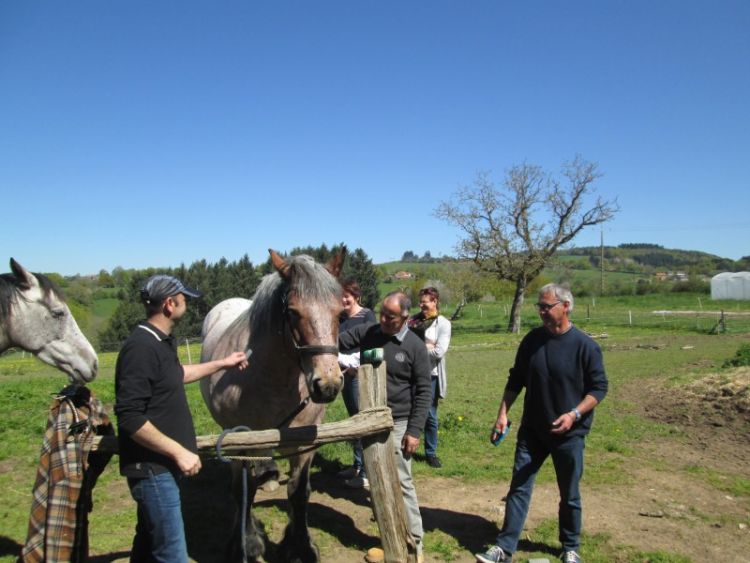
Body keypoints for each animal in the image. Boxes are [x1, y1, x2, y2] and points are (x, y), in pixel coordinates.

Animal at [200, 249, 345, 562]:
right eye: (292, 312)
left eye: (340, 313)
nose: (327, 384)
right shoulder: (241, 442)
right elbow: (243, 493)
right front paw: (247, 543)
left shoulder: (305, 444)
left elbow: (298, 493)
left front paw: (300, 547)